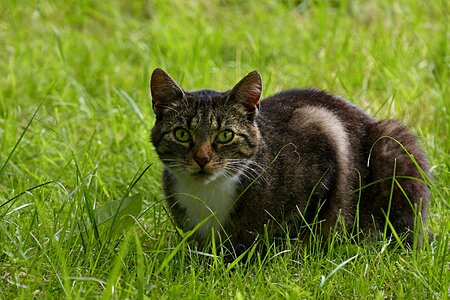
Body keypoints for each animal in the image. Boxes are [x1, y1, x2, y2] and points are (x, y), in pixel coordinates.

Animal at [149, 68, 430, 253]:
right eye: (182, 134)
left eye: (225, 135)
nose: (202, 159)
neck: (208, 192)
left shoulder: (322, 131)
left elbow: (305, 219)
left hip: (394, 143)